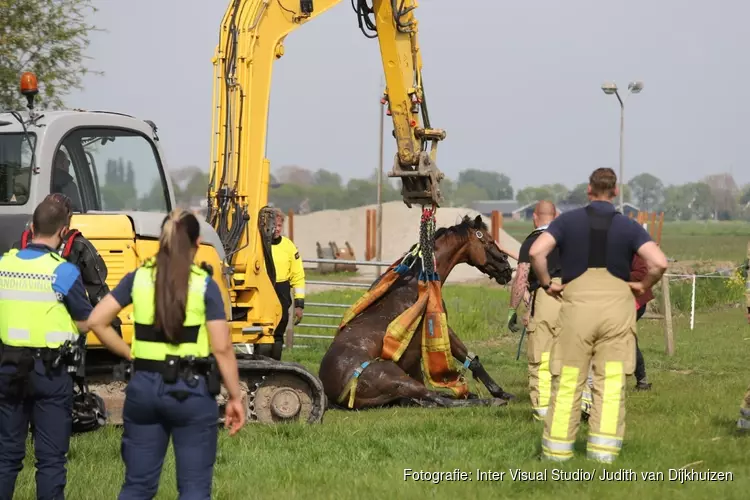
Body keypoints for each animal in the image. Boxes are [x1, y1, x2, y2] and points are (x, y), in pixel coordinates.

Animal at [320, 215, 520, 410]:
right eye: (489, 241)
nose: (507, 269)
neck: (416, 285)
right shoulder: (442, 327)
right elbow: (472, 360)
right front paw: (500, 393)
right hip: (395, 378)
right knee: (437, 398)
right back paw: (488, 401)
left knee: (429, 398)